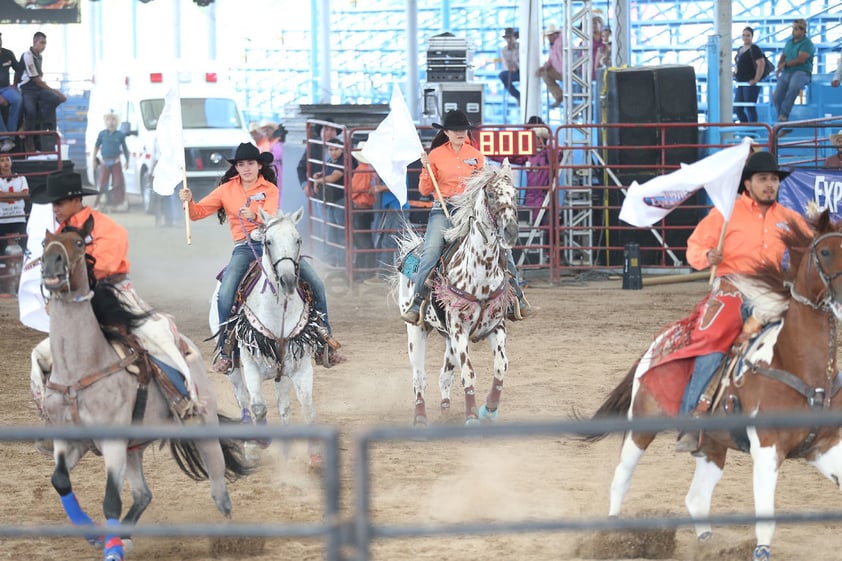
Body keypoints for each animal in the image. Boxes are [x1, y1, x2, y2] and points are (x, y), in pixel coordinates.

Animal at [396, 161, 520, 424]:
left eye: (514, 194)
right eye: (491, 194)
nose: (511, 232)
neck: (480, 272)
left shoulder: (496, 327)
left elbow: (501, 366)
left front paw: (489, 409)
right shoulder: (459, 329)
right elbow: (468, 372)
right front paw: (472, 414)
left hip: (447, 338)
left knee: (444, 374)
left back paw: (445, 407)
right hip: (416, 330)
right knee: (419, 377)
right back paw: (420, 416)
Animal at [580, 211, 842, 560]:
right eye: (825, 252)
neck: (795, 363)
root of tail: (658, 343)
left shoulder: (824, 447)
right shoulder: (767, 449)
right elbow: (766, 518)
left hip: (711, 447)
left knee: (696, 499)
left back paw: (707, 545)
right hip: (641, 426)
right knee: (622, 477)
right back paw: (611, 539)